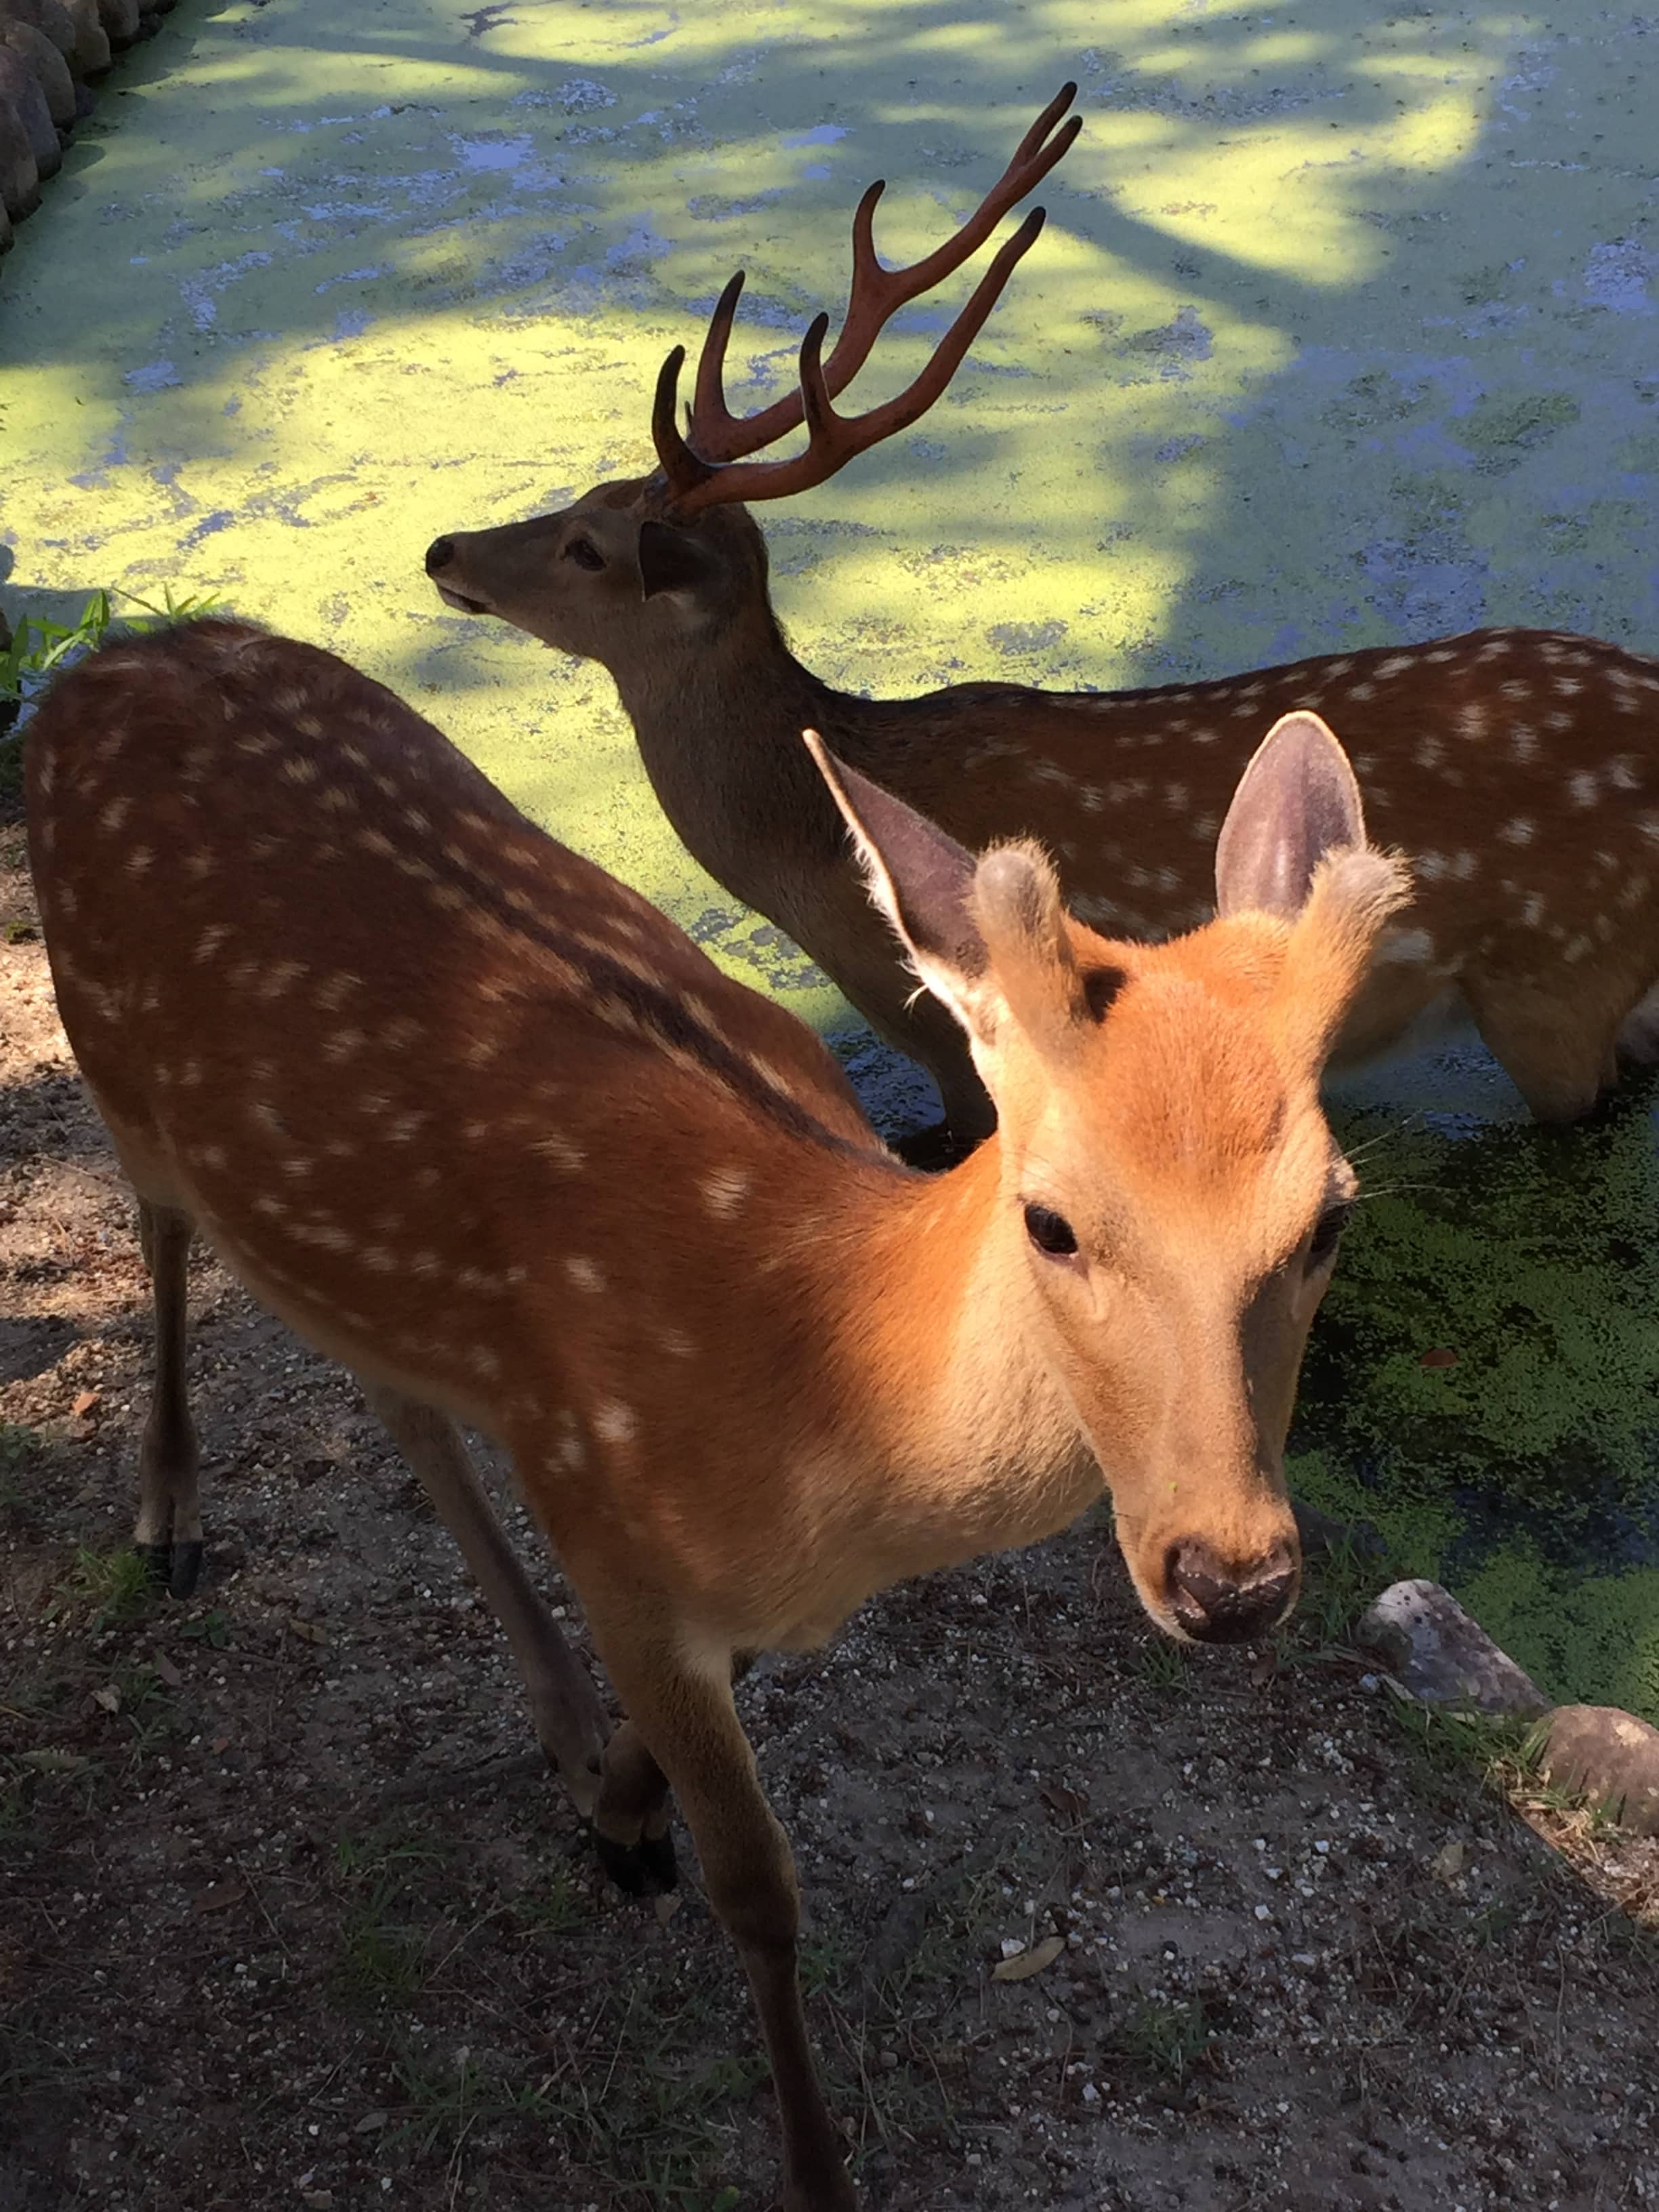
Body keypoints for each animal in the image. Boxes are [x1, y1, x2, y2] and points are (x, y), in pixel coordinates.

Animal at [27, 613, 1406, 2210]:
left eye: (1331, 1216)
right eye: (1052, 1221)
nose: (1230, 1575)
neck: (814, 1391)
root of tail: (113, 654)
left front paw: (616, 1805)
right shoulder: (610, 1516)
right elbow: (759, 1892)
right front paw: (810, 2163)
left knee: (388, 1384)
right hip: (108, 1059)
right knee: (162, 1230)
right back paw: (169, 1516)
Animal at [426, 85, 1659, 1158]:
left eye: (590, 548)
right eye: (585, 494)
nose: (443, 550)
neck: (808, 872)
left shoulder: (959, 1050)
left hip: (1551, 969)